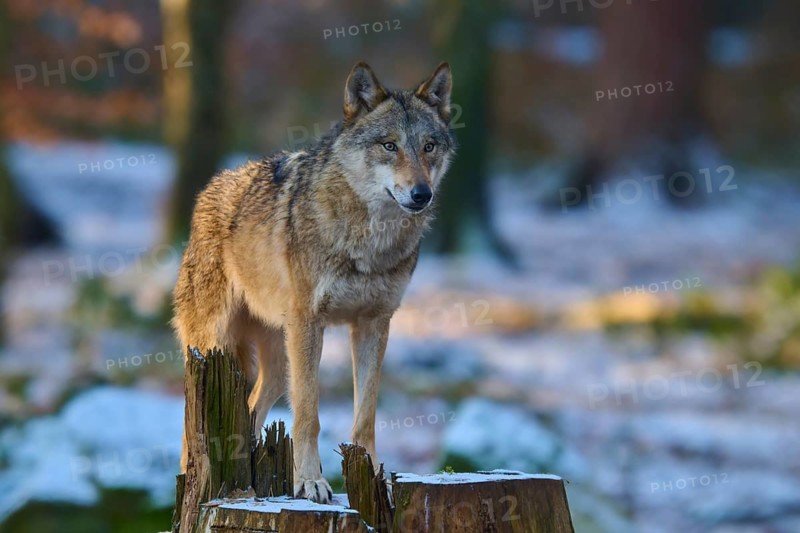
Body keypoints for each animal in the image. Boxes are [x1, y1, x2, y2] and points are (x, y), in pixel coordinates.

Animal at [172, 61, 455, 503]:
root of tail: (209, 190)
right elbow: (308, 413)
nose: (421, 193)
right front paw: (309, 482)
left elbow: (366, 414)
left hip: (275, 361)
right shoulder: (310, 322)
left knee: (252, 408)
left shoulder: (374, 324)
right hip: (214, 345)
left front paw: (375, 477)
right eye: (389, 146)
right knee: (189, 426)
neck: (369, 240)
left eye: (428, 146)